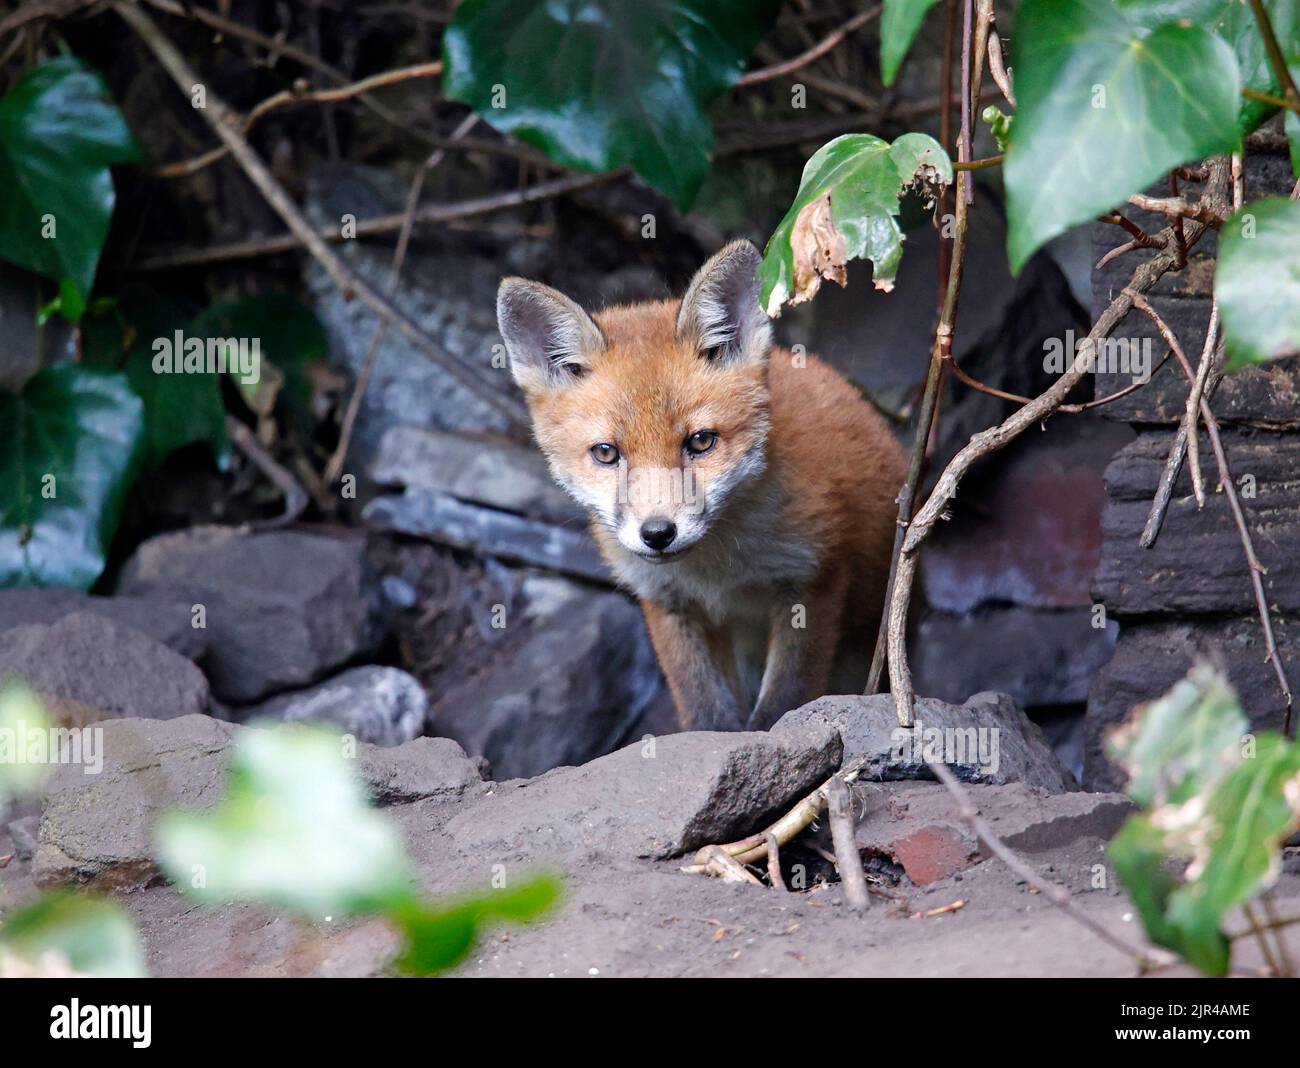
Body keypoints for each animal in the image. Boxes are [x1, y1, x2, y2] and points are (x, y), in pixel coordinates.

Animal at [497, 240, 906, 731]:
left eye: (700, 441)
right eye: (606, 453)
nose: (658, 534)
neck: (716, 574)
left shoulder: (814, 578)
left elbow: (785, 700)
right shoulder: (667, 602)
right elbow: (704, 708)